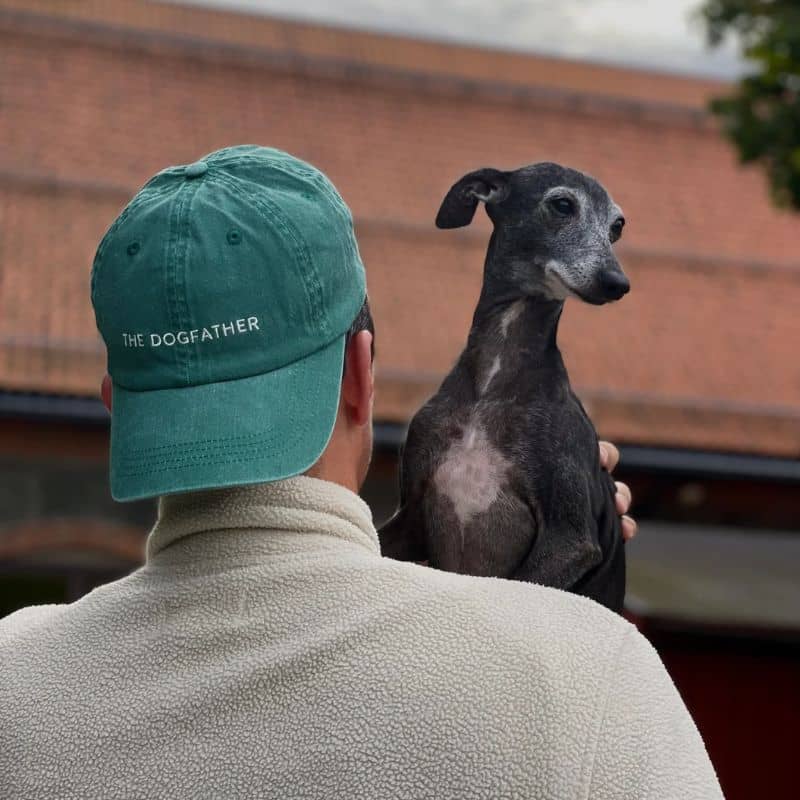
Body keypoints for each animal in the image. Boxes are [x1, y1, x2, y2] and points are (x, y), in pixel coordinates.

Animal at [380, 162, 632, 612]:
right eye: (562, 204)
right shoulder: (409, 518)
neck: (493, 380)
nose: (617, 282)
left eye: (616, 226)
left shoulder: (570, 539)